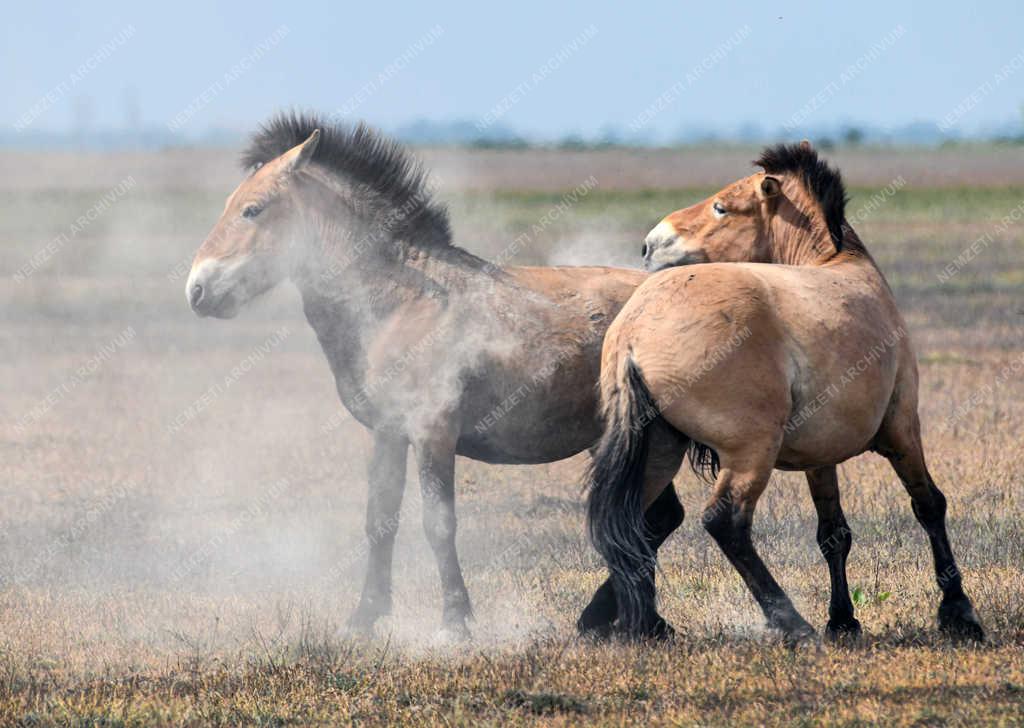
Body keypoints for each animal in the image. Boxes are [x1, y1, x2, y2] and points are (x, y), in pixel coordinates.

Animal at [185, 111, 684, 638]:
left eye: (252, 210)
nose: (197, 289)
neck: (404, 302)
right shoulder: (388, 433)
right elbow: (380, 519)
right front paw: (365, 617)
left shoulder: (433, 433)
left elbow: (438, 523)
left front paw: (454, 622)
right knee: (654, 518)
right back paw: (639, 622)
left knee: (640, 520)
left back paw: (621, 620)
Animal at [585, 142, 983, 643]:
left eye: (721, 207)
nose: (649, 245)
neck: (840, 265)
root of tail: (634, 331)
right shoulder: (901, 430)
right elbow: (928, 504)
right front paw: (959, 612)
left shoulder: (821, 457)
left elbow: (834, 533)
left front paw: (844, 619)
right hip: (750, 452)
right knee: (724, 522)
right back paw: (790, 621)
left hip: (657, 451)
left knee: (627, 523)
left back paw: (614, 619)